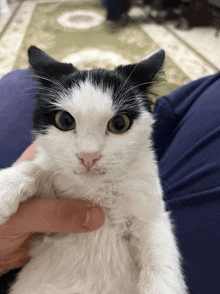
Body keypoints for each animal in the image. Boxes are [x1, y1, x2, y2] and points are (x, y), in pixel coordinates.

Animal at [0, 47, 187, 292]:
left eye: (119, 124)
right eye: (65, 120)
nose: (88, 156)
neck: (97, 192)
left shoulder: (151, 216)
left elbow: (160, 261)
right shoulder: (40, 232)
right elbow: (39, 169)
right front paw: (7, 185)